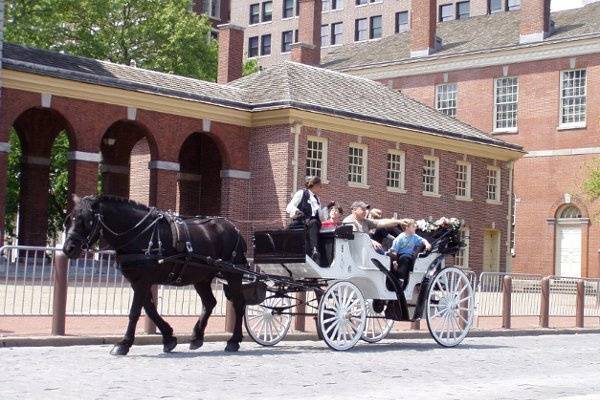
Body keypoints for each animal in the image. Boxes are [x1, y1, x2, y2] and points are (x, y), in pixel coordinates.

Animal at [62, 195, 247, 354]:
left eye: (86, 221)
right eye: (69, 219)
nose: (68, 248)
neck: (139, 234)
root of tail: (235, 229)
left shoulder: (142, 281)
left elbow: (135, 312)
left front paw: (124, 343)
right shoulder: (138, 281)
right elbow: (150, 310)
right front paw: (169, 337)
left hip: (233, 275)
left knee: (239, 304)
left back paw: (233, 340)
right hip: (201, 277)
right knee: (209, 303)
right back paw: (196, 337)